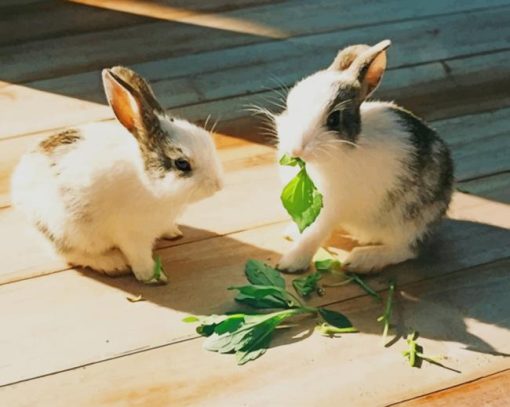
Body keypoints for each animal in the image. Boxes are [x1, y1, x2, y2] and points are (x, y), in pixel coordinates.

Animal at [11, 66, 223, 284]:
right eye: (182, 164)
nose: (218, 184)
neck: (149, 185)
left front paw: (172, 232)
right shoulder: (132, 235)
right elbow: (140, 258)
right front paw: (153, 277)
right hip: (66, 231)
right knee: (70, 254)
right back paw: (113, 263)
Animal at [274, 39, 454, 274]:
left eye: (334, 119)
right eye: (290, 104)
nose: (295, 150)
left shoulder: (330, 208)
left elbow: (314, 235)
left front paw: (289, 263)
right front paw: (291, 234)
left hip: (409, 221)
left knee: (406, 249)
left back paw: (361, 260)